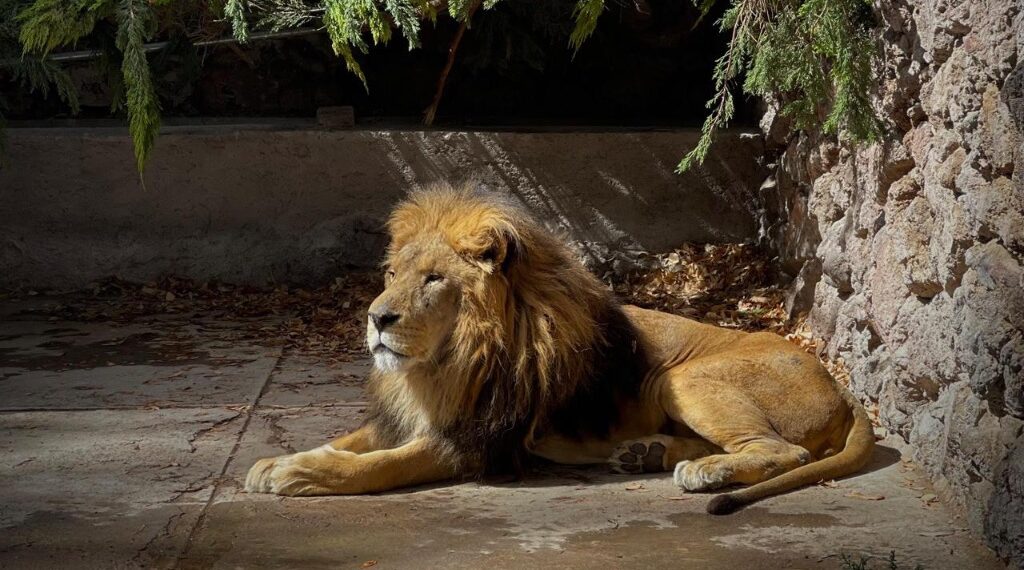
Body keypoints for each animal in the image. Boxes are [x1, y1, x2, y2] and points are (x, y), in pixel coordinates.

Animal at [245, 181, 874, 514]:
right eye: (392, 274)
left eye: (434, 280)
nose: (376, 319)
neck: (447, 364)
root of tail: (842, 388)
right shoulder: (413, 416)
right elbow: (352, 442)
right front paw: (277, 460)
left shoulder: (481, 440)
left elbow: (378, 465)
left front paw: (299, 474)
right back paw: (649, 454)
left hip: (684, 377)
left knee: (783, 452)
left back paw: (705, 471)